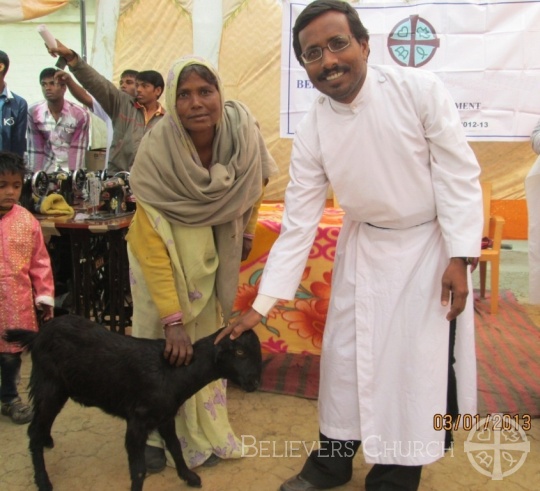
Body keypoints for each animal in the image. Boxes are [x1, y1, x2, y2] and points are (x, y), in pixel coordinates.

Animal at [4, 316, 262, 491]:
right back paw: (43, 480)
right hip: (50, 385)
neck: (173, 372)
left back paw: (47, 442)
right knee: (33, 431)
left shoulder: (165, 416)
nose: (256, 382)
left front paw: (189, 477)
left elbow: (176, 447)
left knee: (41, 425)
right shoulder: (137, 421)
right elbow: (139, 470)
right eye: (239, 352)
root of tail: (37, 335)